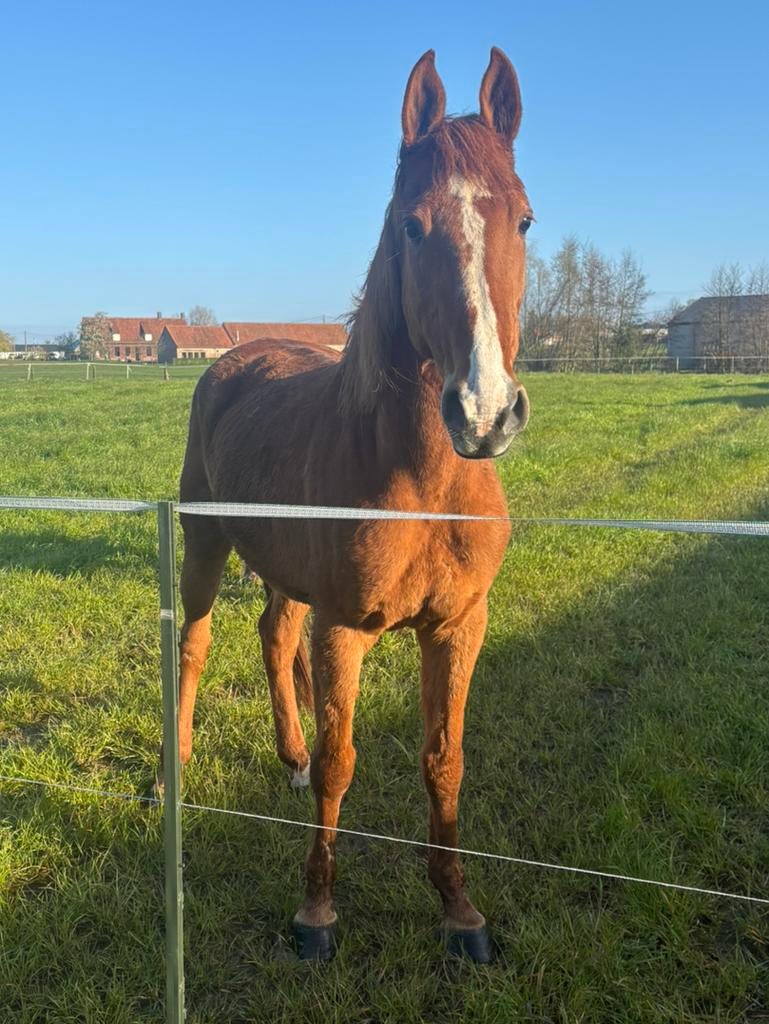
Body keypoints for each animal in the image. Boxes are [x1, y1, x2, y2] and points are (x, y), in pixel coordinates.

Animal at [172, 47, 532, 962]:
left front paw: (459, 911)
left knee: (272, 636)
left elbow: (444, 761)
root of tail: (236, 360)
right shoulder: (345, 631)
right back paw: (170, 773)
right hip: (203, 546)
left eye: (523, 221)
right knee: (193, 646)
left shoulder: (458, 626)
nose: (483, 411)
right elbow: (343, 764)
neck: (427, 488)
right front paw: (316, 912)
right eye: (410, 225)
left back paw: (288, 753)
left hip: (284, 574)